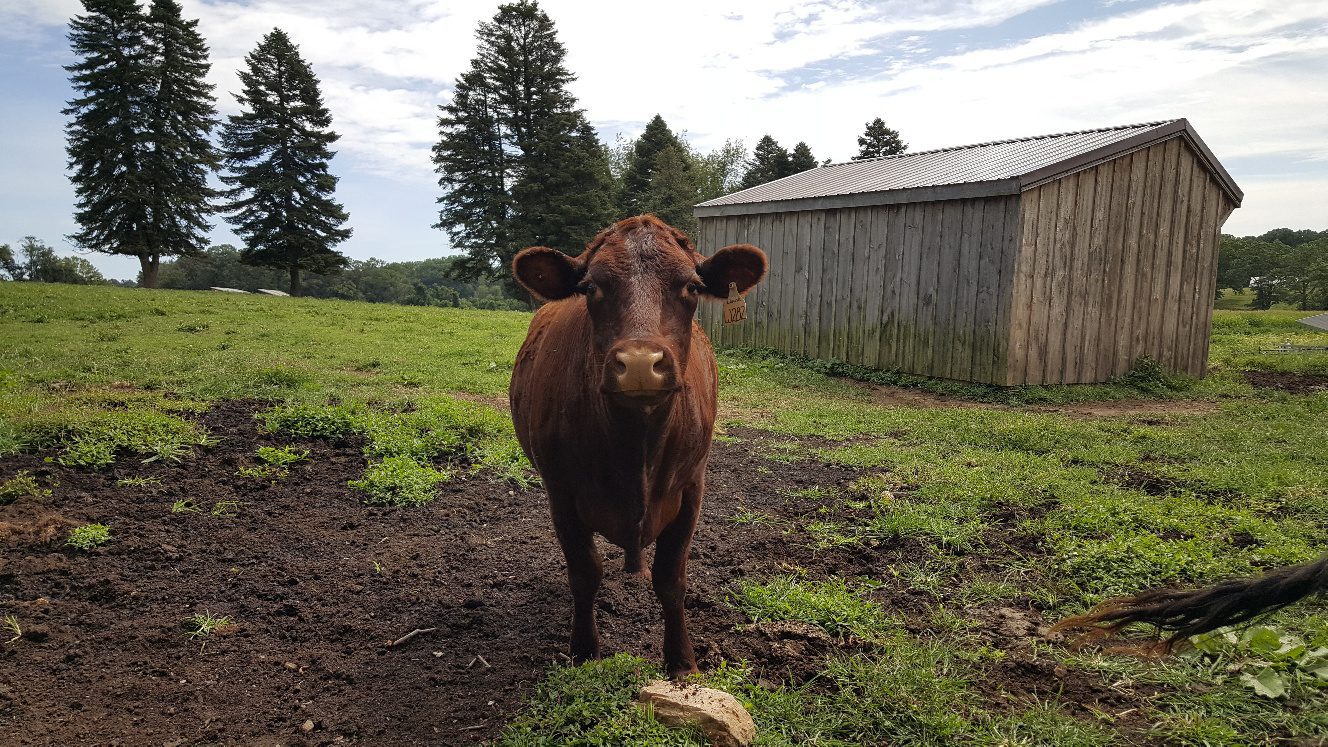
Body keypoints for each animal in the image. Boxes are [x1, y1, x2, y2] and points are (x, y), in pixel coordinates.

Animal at [507, 213, 770, 675]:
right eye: (590, 287)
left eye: (692, 287)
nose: (641, 364)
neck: (636, 447)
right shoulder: (561, 491)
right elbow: (584, 573)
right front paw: (584, 650)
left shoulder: (692, 487)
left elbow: (671, 576)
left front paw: (681, 661)